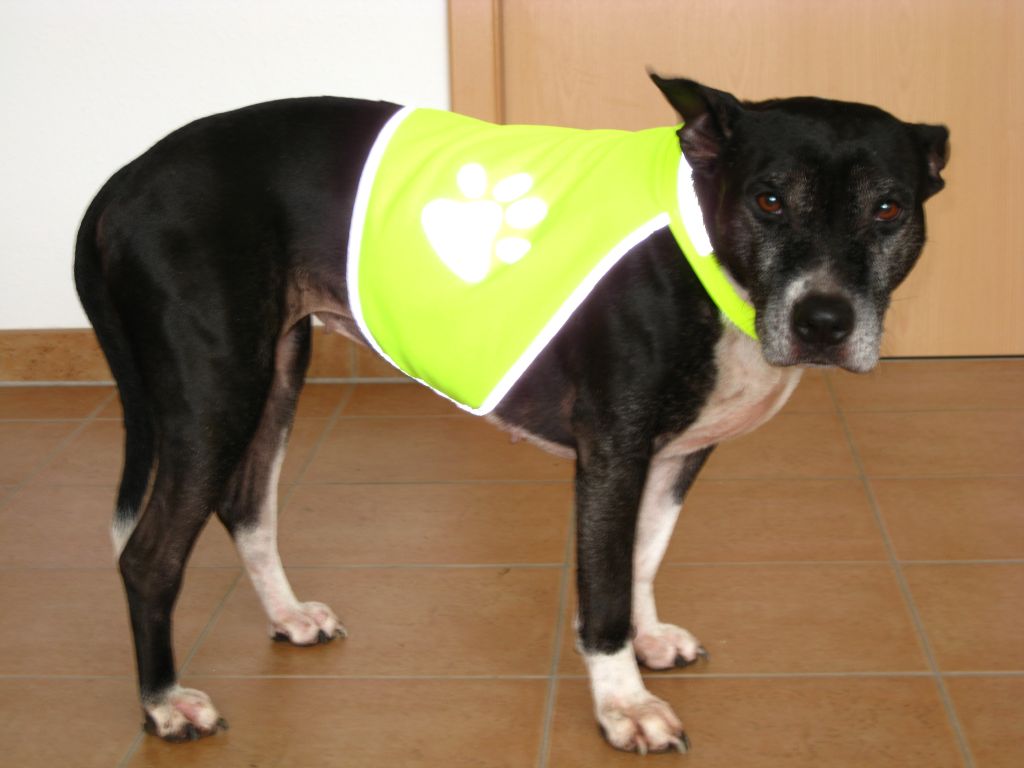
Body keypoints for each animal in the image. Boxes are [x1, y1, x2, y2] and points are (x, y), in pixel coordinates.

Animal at [74, 73, 948, 754]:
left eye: (888, 209)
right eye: (769, 199)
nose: (824, 321)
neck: (699, 235)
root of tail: (129, 175)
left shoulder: (674, 455)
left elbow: (643, 556)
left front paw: (647, 639)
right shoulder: (614, 454)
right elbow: (602, 590)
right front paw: (623, 706)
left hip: (274, 369)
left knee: (247, 504)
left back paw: (287, 616)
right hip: (215, 385)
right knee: (148, 554)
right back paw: (164, 703)